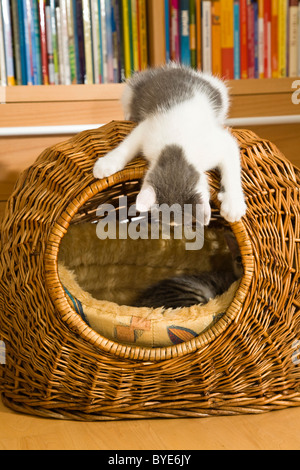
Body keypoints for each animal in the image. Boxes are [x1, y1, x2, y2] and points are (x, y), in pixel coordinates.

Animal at [94, 63, 246, 226]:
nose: (172, 229)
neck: (177, 146)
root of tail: (175, 68)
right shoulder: (148, 128)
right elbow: (128, 145)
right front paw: (107, 163)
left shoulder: (220, 143)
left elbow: (232, 165)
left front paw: (234, 204)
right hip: (131, 89)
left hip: (220, 91)